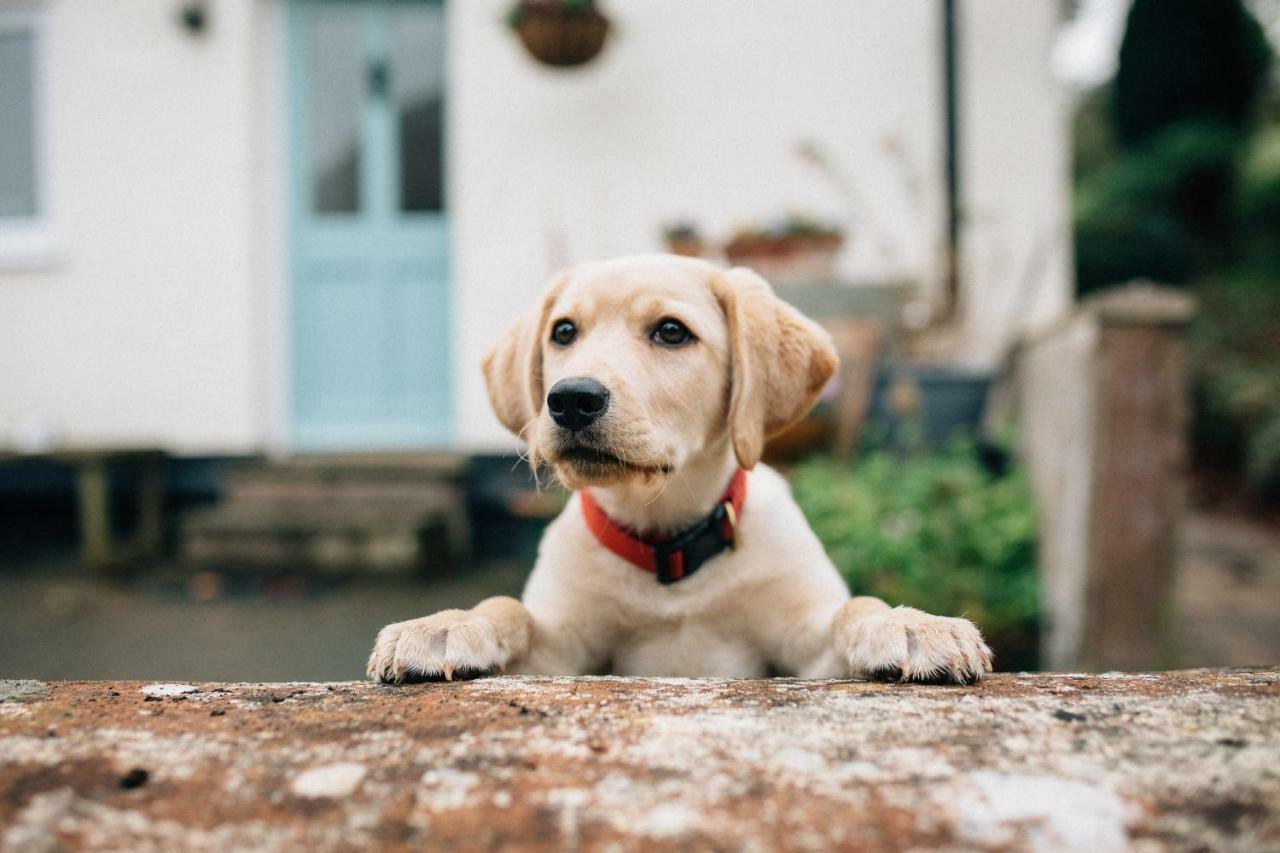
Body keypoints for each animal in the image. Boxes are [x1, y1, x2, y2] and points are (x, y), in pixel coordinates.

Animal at [366, 253, 993, 686]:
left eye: (671, 331)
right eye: (563, 332)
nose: (570, 399)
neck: (667, 545)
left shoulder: (803, 644)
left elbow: (855, 607)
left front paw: (910, 624)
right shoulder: (564, 647)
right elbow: (509, 608)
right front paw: (448, 625)